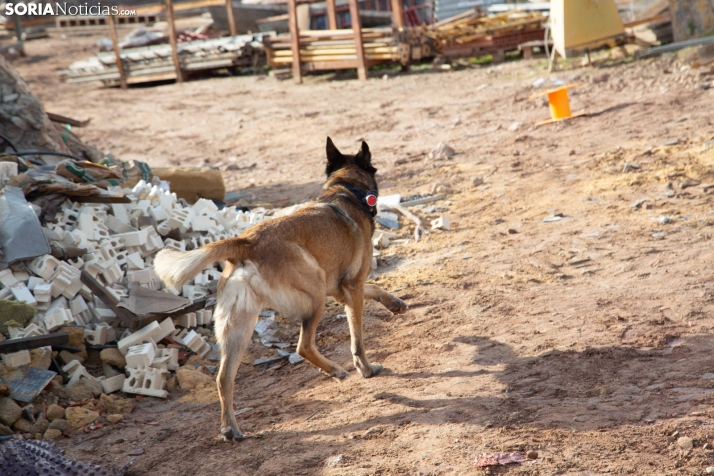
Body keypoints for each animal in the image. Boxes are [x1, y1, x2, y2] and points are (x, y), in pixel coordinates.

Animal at [152, 138, 404, 442]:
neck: (346, 189)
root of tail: (245, 243)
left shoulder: (342, 290)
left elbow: (375, 287)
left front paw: (395, 303)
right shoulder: (350, 287)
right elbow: (358, 340)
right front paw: (366, 369)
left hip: (238, 326)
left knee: (224, 378)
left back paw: (230, 428)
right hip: (315, 292)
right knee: (303, 346)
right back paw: (336, 371)